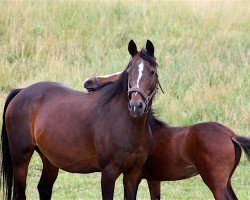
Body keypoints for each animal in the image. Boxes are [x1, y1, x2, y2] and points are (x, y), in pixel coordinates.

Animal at [0, 39, 160, 199]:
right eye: (129, 72)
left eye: (152, 72)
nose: (135, 106)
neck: (127, 124)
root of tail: (20, 92)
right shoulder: (108, 173)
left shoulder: (133, 174)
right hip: (21, 160)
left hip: (49, 160)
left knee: (44, 188)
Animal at [83, 72, 250, 199]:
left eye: (117, 77)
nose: (89, 82)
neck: (149, 129)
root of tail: (230, 136)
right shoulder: (154, 179)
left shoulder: (138, 176)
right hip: (227, 182)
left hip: (216, 183)